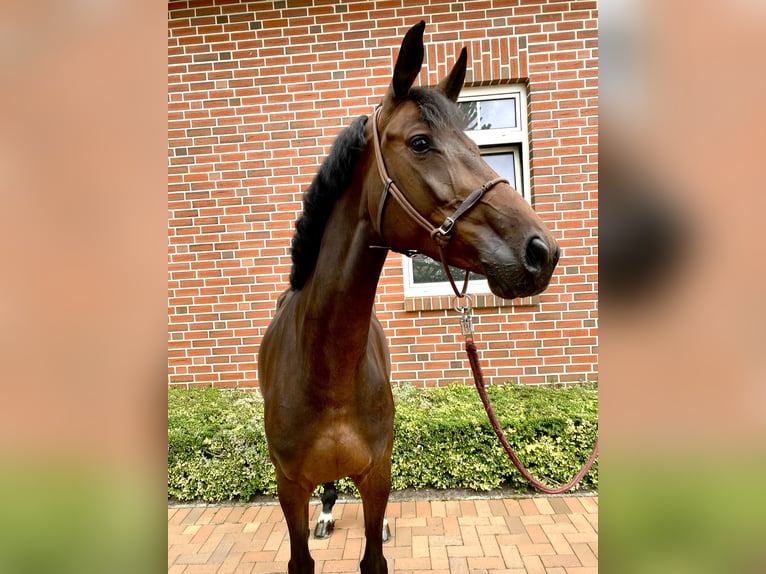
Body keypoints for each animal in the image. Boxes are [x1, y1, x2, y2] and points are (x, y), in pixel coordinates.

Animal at [258, 21, 559, 574]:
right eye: (421, 142)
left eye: (474, 142)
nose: (541, 252)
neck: (326, 371)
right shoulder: (289, 488)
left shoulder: (378, 475)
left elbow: (373, 555)